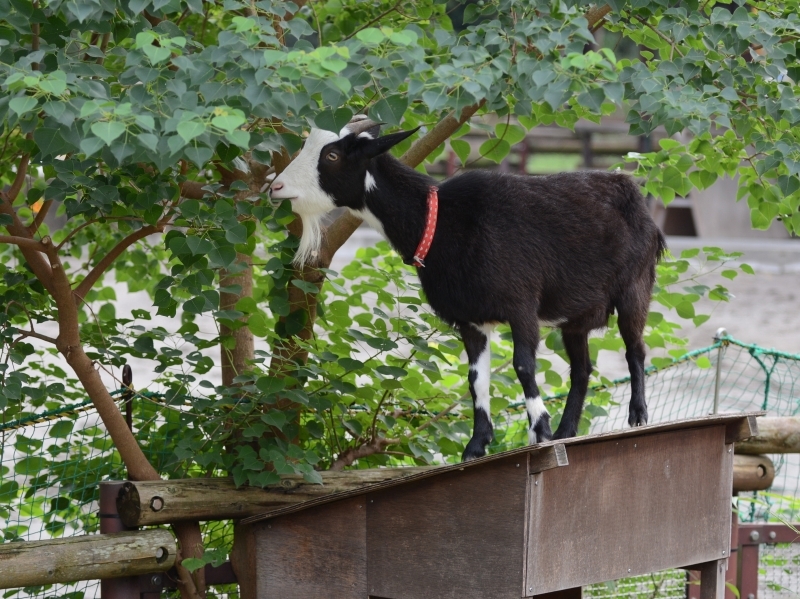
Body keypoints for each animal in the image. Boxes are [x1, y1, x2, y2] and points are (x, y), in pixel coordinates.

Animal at [272, 117, 664, 464]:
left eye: (332, 155)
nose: (275, 187)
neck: (442, 222)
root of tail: (633, 193)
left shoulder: (522, 304)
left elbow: (523, 365)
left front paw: (539, 430)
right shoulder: (470, 320)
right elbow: (476, 379)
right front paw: (477, 445)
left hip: (635, 287)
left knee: (635, 349)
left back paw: (637, 416)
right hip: (575, 318)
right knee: (582, 369)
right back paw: (568, 431)